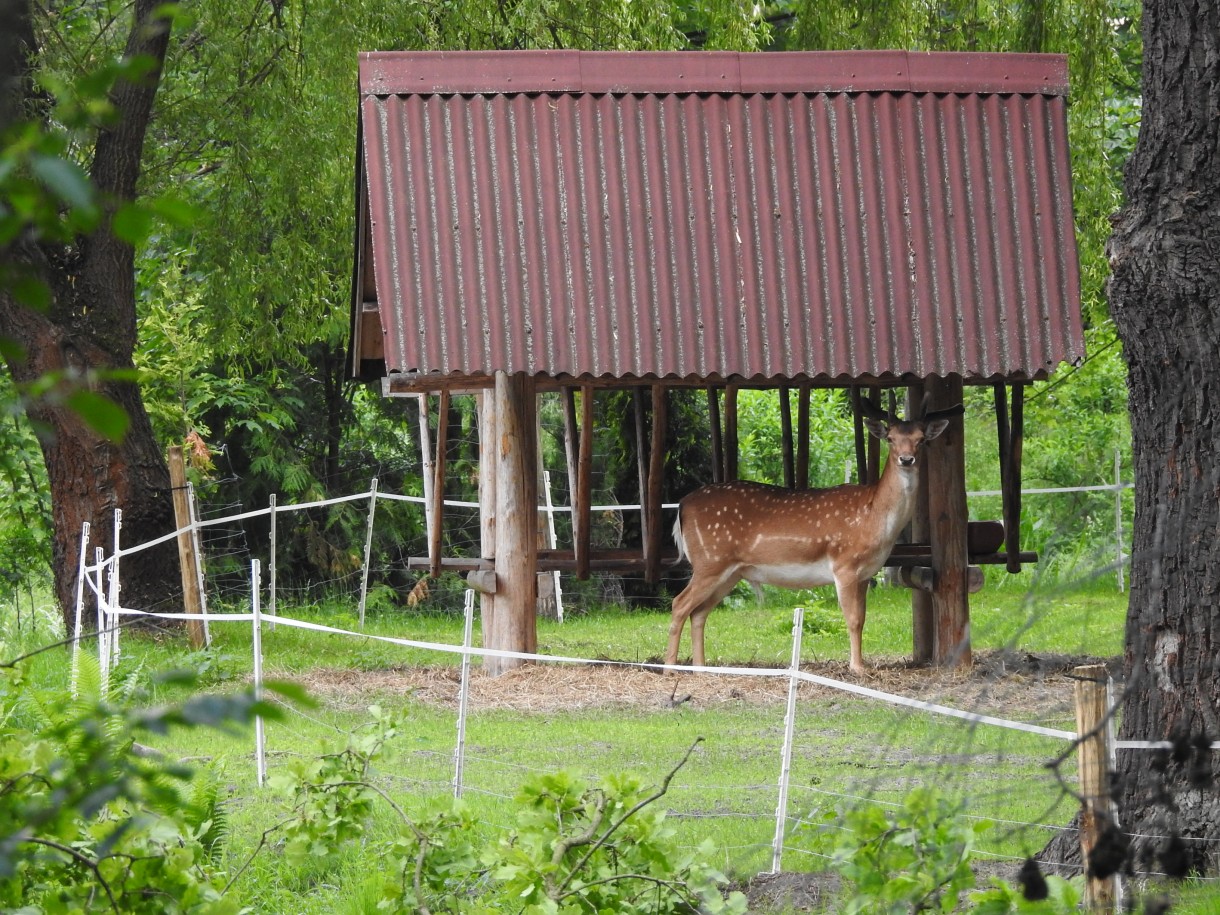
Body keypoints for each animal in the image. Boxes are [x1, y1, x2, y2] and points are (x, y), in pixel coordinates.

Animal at [668, 397, 961, 678]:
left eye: (921, 439)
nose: (906, 459)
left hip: (731, 571)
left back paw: (700, 667)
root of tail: (682, 506)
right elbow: (852, 619)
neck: (873, 518)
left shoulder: (866, 573)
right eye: (890, 438)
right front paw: (857, 667)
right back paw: (671, 667)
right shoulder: (844, 564)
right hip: (710, 560)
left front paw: (861, 664)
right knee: (679, 604)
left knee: (699, 612)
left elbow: (863, 619)